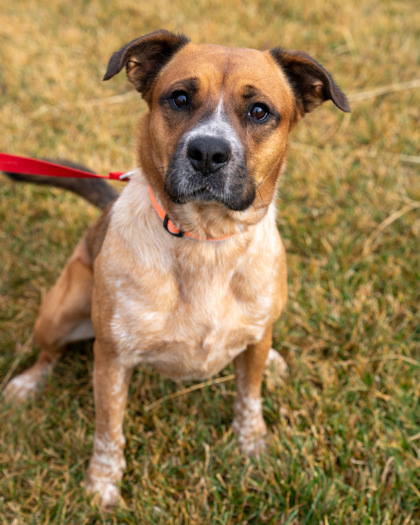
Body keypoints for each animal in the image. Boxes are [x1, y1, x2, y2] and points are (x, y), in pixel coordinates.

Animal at [3, 29, 350, 508]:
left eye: (260, 111)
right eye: (180, 98)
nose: (208, 151)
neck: (204, 240)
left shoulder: (252, 347)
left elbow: (249, 397)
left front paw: (252, 444)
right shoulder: (112, 359)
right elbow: (108, 430)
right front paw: (102, 484)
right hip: (60, 311)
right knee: (48, 353)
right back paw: (27, 384)